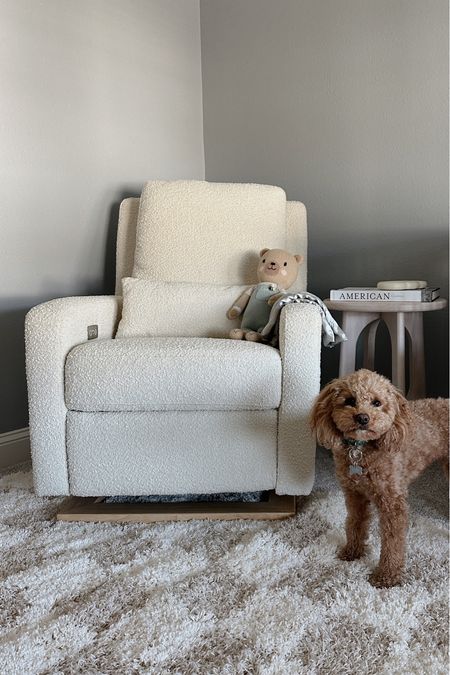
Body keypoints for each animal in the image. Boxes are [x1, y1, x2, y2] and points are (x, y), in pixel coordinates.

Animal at [312, 372, 448, 588]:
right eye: (349, 400)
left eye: (377, 402)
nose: (362, 418)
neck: (360, 449)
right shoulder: (354, 495)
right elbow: (354, 524)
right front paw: (352, 552)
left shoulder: (393, 503)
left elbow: (392, 541)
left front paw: (387, 576)